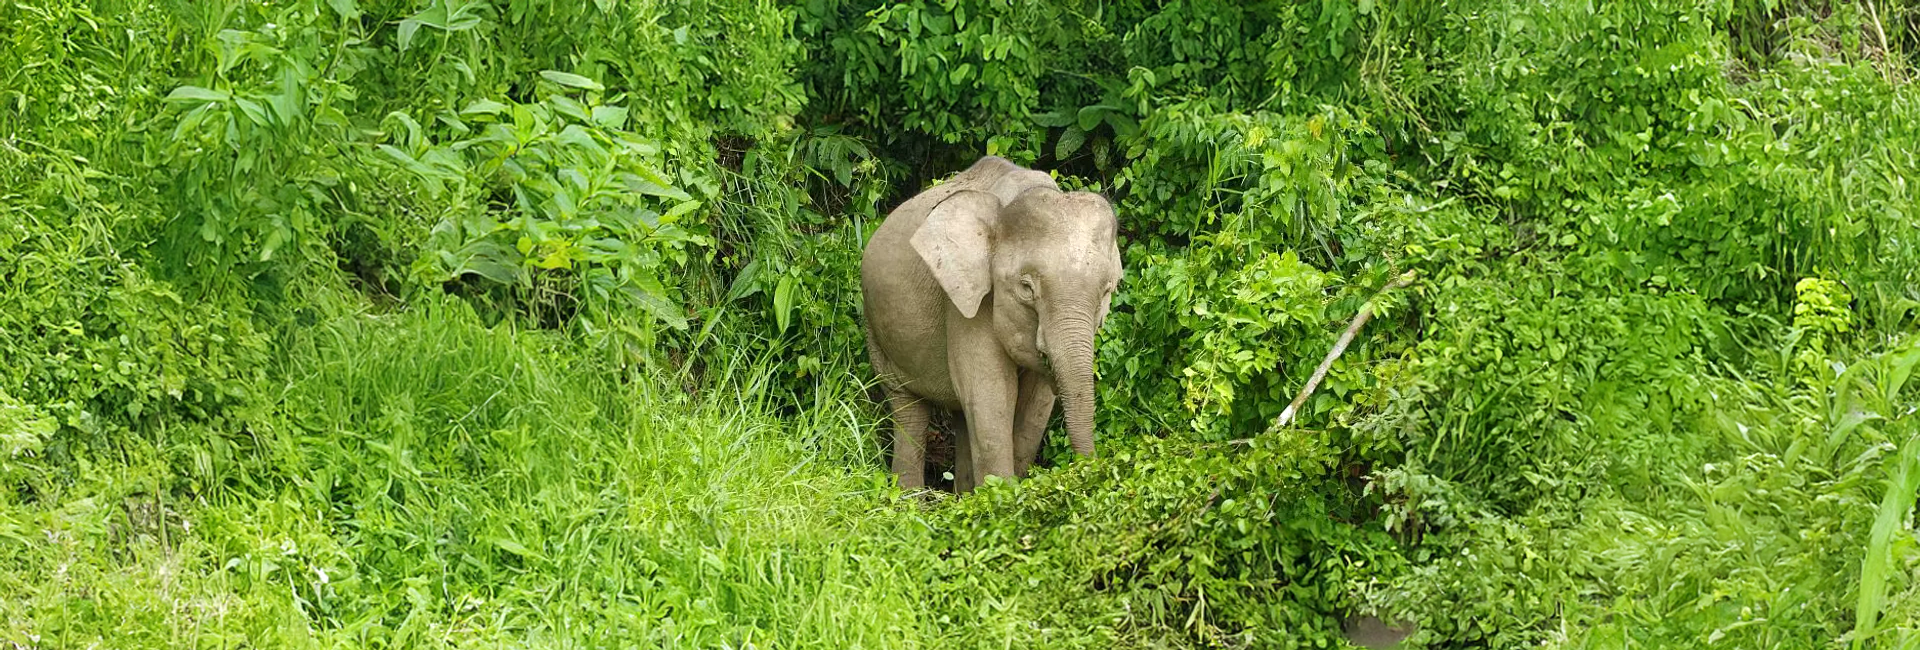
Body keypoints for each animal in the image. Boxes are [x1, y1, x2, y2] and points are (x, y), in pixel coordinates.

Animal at [861, 156, 1122, 491]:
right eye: (1026, 289)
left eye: (1107, 291)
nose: (1094, 471)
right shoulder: (966, 302)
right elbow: (991, 394)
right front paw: (1002, 497)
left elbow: (1035, 403)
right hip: (876, 329)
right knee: (909, 409)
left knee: (961, 412)